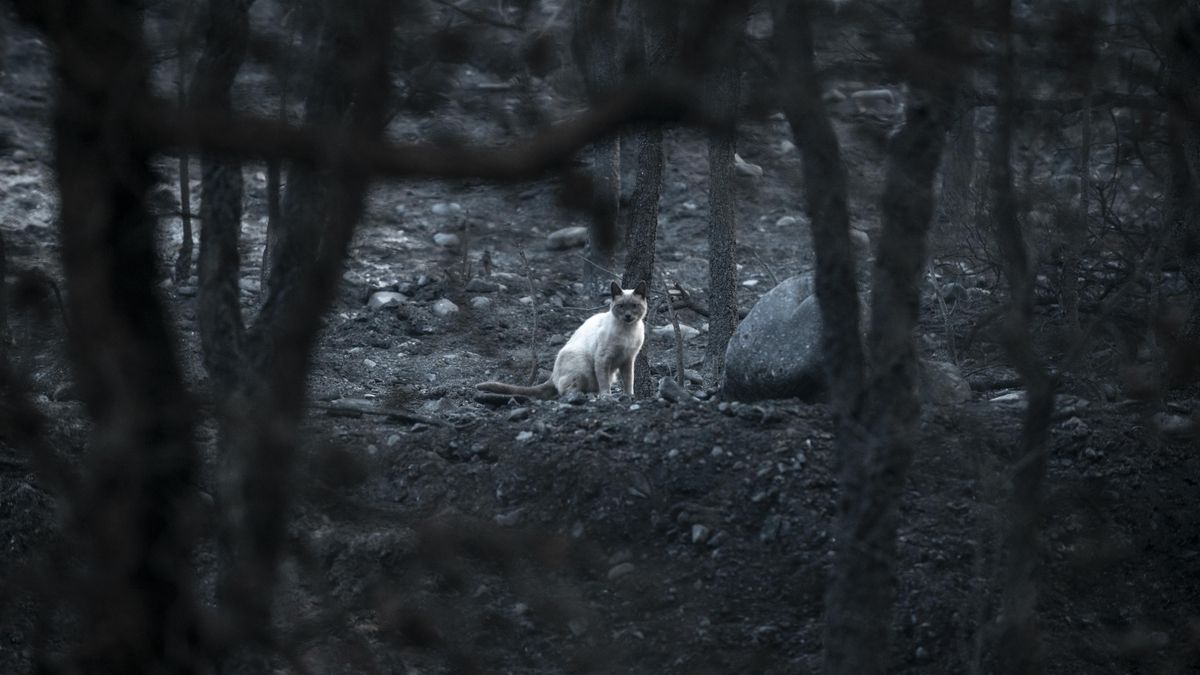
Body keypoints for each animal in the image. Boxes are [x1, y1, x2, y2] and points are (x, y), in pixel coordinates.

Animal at [475, 279, 648, 396]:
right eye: (621, 306)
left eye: (634, 306)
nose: (628, 316)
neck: (628, 331)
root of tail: (552, 374)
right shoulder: (603, 359)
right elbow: (604, 383)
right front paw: (607, 398)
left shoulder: (628, 360)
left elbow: (629, 382)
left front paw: (630, 397)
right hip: (583, 365)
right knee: (567, 391)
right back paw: (587, 396)